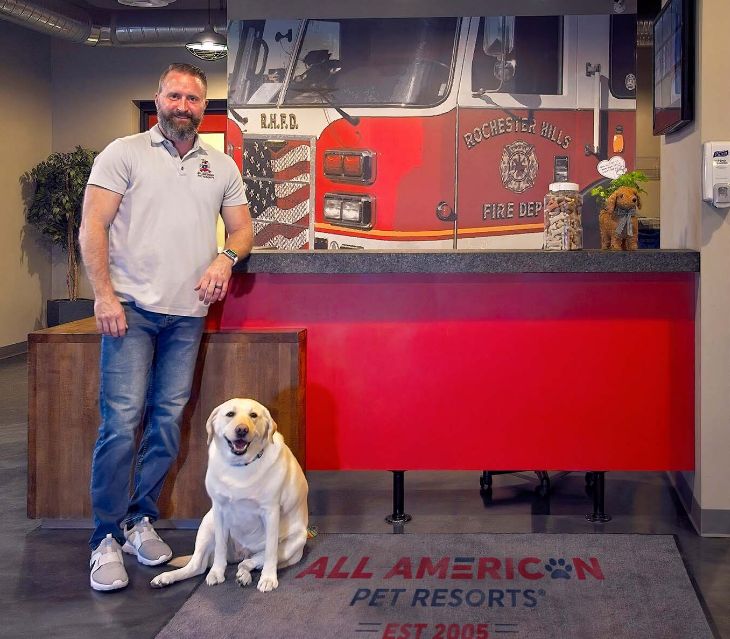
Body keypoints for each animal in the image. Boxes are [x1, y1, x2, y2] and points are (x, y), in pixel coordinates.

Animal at [148, 398, 308, 592]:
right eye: (230, 414)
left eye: (253, 415)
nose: (242, 430)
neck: (241, 465)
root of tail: (242, 552)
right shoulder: (219, 510)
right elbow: (220, 549)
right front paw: (216, 573)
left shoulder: (271, 512)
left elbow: (270, 551)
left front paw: (269, 578)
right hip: (207, 524)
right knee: (197, 566)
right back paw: (166, 578)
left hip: (294, 543)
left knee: (251, 562)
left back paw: (244, 575)